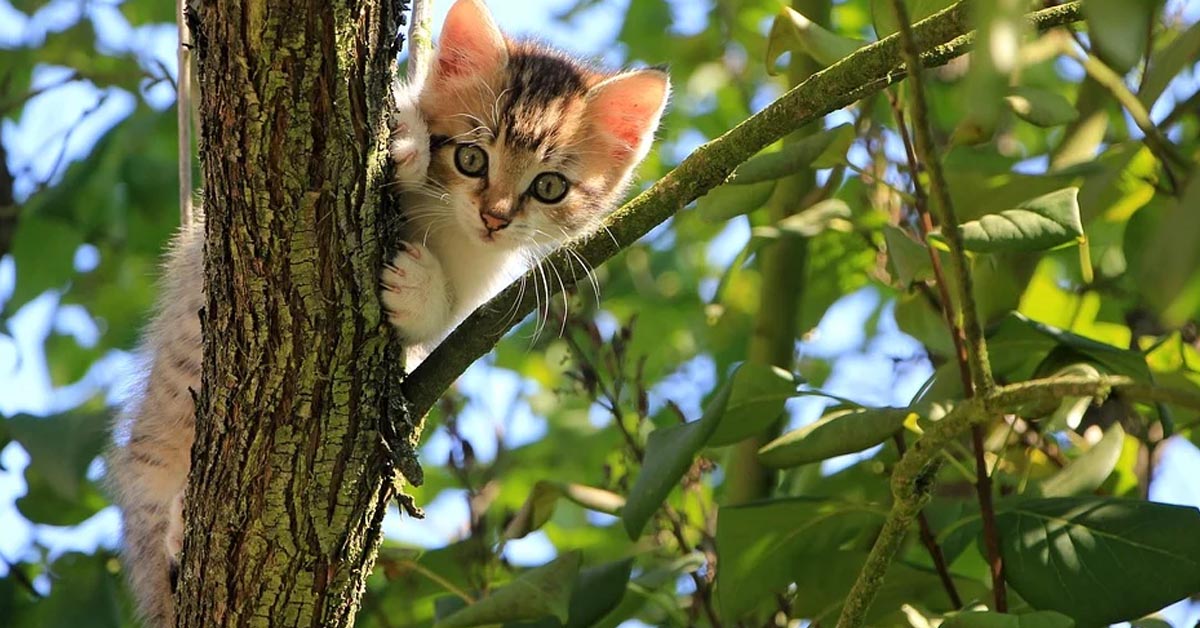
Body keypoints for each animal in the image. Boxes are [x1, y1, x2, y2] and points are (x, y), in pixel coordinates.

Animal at [105, 0, 667, 624]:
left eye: (549, 186)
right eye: (471, 157)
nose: (495, 217)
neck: (447, 226)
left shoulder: (477, 287)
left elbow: (441, 321)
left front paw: (418, 287)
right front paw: (405, 138)